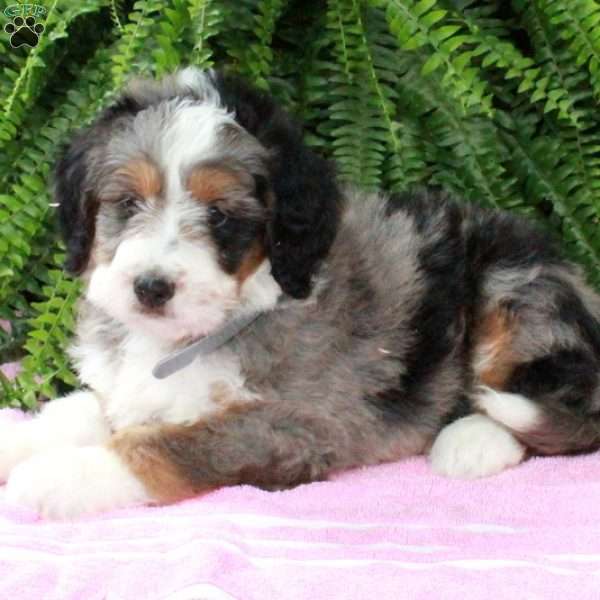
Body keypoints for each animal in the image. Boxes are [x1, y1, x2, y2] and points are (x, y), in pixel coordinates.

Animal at [1, 64, 600, 516]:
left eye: (220, 217)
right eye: (127, 203)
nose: (151, 287)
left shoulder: (299, 422)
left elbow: (174, 443)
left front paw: (64, 474)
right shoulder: (129, 391)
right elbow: (83, 410)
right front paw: (19, 443)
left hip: (514, 290)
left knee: (565, 405)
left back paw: (472, 440)